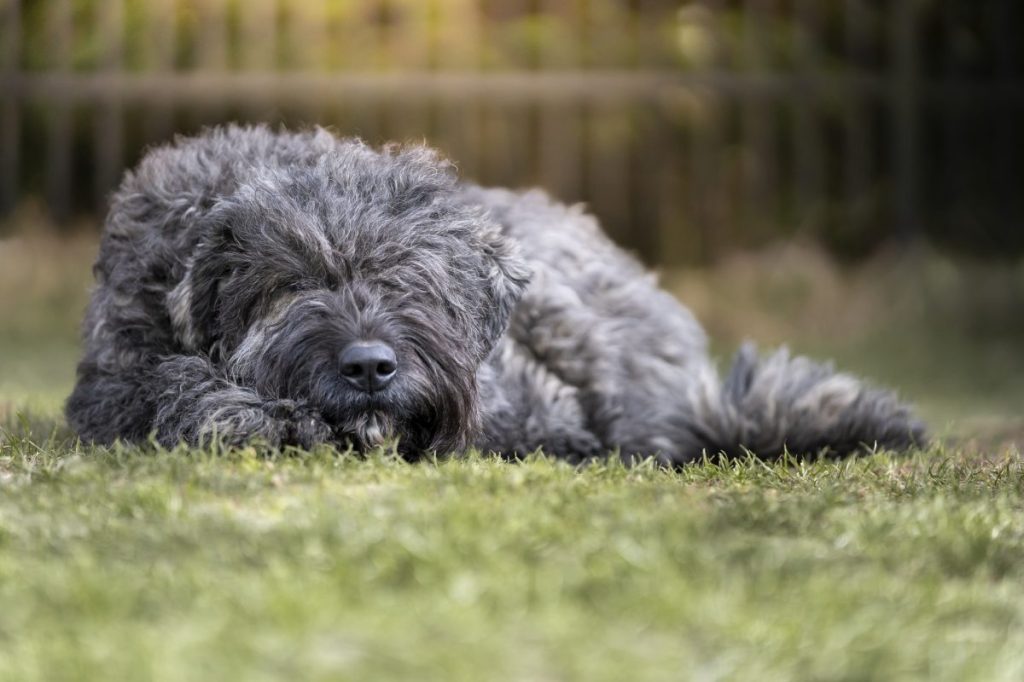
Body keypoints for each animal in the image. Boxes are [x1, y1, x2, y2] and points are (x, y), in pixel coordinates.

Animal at [64, 123, 929, 462]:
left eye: (405, 276)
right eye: (290, 285)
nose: (370, 367)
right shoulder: (114, 381)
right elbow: (166, 388)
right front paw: (253, 411)